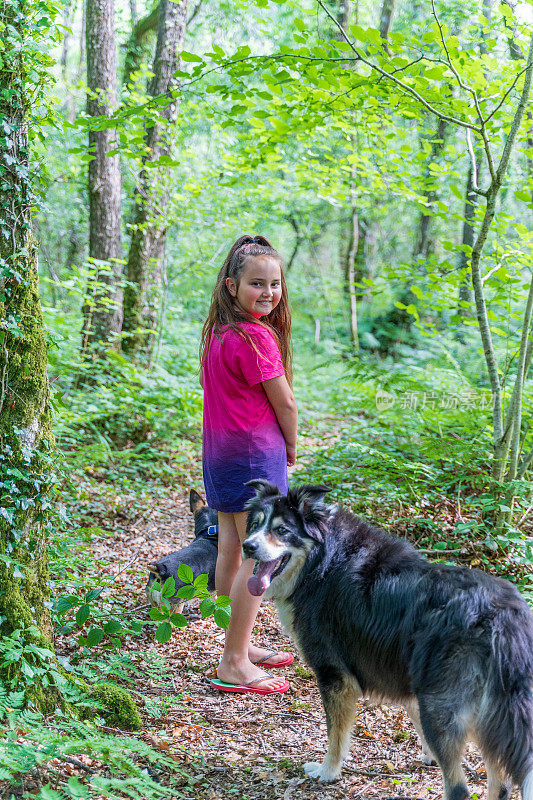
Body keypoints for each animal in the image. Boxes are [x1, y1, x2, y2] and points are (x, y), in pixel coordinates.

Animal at [242, 482, 532, 800]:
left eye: (282, 530)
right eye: (255, 525)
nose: (247, 546)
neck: (323, 560)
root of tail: (500, 614)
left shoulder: (335, 676)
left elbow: (336, 734)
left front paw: (328, 771)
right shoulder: (404, 675)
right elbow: (413, 716)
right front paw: (428, 755)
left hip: (441, 707)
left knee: (459, 787)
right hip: (486, 714)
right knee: (501, 784)